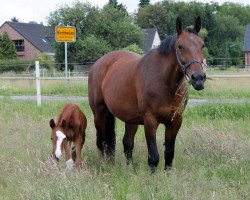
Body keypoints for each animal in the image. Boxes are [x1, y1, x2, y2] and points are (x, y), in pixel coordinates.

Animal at [89, 16, 206, 172]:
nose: (198, 78)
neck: (164, 82)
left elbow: (169, 154)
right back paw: (104, 166)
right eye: (180, 46)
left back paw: (130, 170)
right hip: (99, 113)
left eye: (202, 45)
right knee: (101, 142)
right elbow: (154, 157)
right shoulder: (150, 121)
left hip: (130, 119)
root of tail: (98, 64)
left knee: (127, 143)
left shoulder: (175, 122)